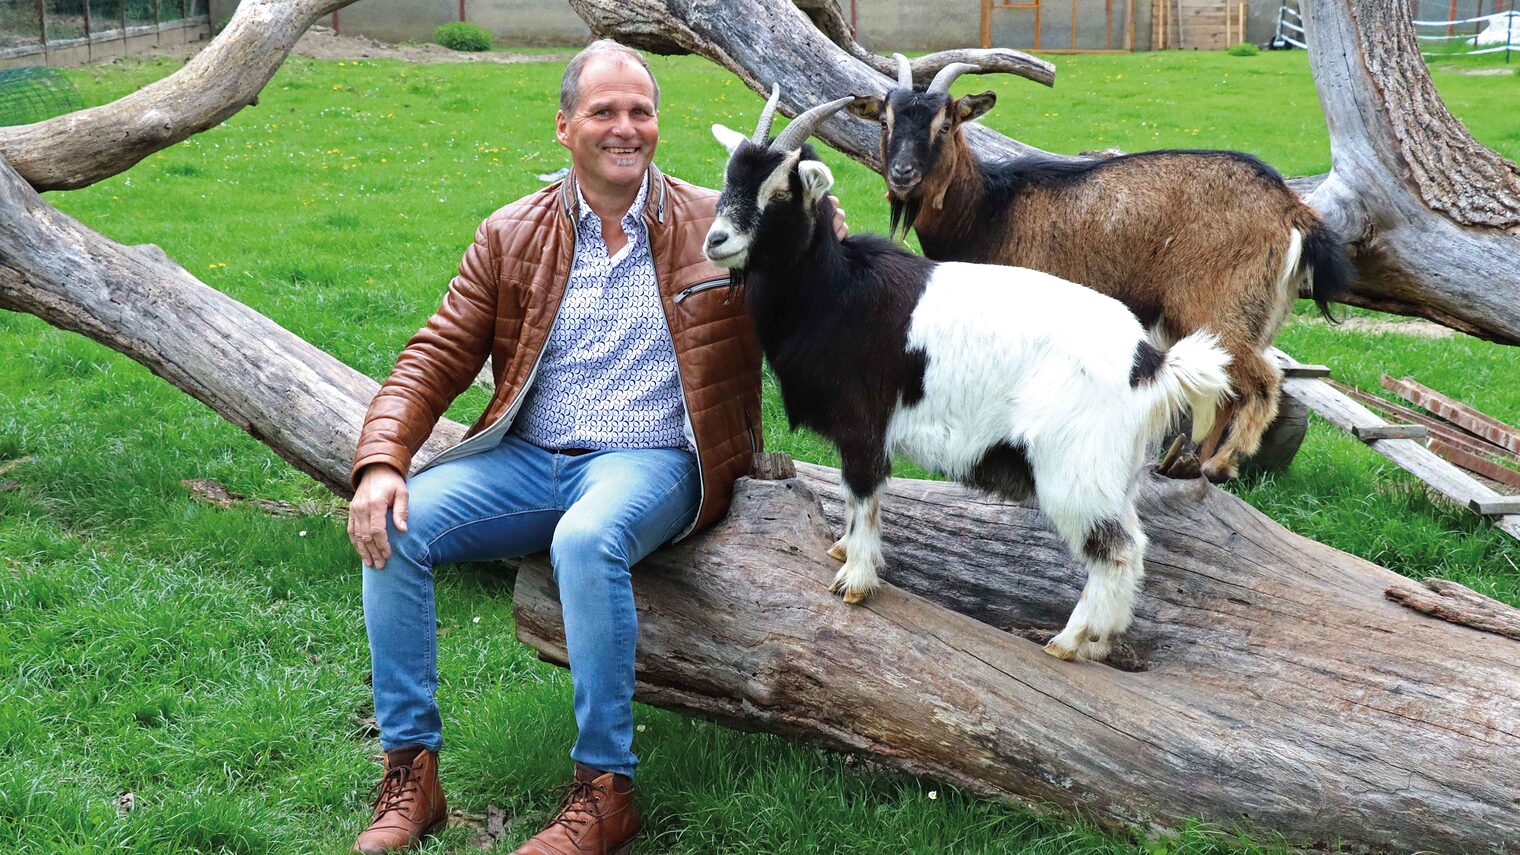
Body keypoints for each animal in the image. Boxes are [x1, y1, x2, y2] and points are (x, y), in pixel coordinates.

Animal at [708, 88, 1234, 660]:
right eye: (729, 177)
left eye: (782, 191)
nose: (715, 240)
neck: (835, 289)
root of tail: (1150, 361)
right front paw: (844, 552)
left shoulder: (863, 424)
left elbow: (861, 494)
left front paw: (855, 580)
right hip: (1113, 470)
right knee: (1132, 542)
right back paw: (1099, 642)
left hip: (1075, 467)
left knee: (1117, 548)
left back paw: (1069, 642)